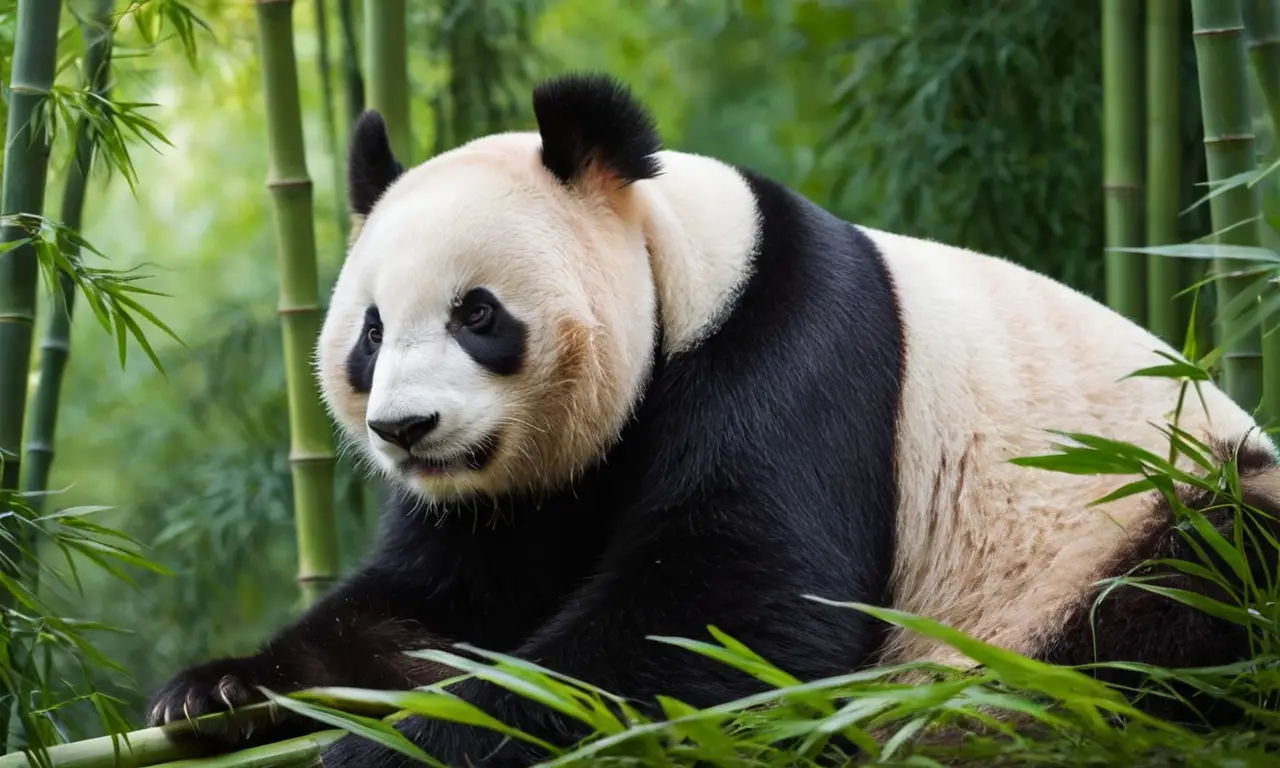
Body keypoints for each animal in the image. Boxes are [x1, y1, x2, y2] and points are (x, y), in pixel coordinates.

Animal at [146, 72, 1280, 766]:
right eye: (370, 333)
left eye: (478, 314)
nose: (406, 430)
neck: (683, 265)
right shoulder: (522, 494)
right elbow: (427, 604)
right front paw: (218, 694)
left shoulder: (790, 357)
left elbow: (722, 621)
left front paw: (395, 746)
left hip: (1147, 512)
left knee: (1176, 601)